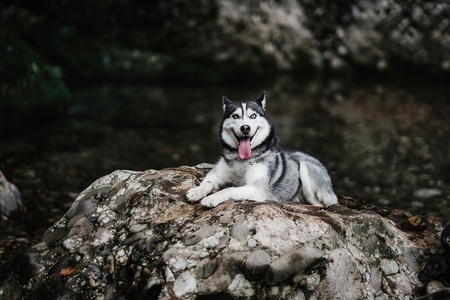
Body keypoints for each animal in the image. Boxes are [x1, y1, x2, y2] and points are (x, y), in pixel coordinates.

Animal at [186, 92, 338, 207]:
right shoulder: (217, 174)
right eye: (235, 116)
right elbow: (208, 182)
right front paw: (197, 191)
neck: (242, 160)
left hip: (306, 172)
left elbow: (229, 188)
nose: (245, 128)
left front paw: (212, 198)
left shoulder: (258, 190)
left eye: (253, 116)